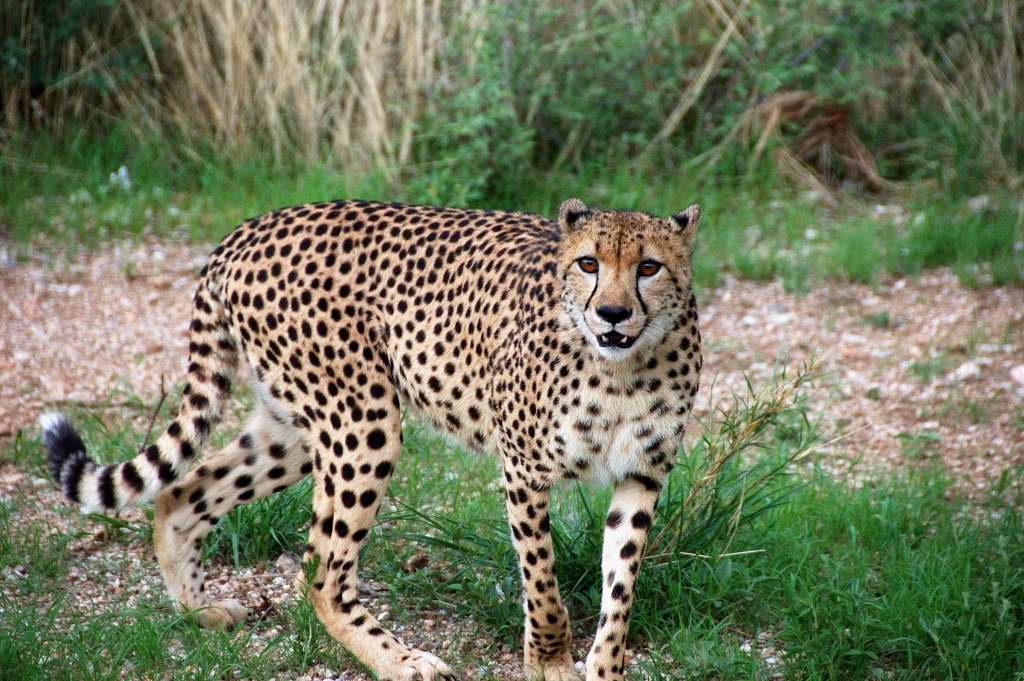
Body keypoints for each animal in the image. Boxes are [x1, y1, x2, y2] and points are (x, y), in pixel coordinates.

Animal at [40, 196, 703, 681]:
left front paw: (605, 667)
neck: (621, 366)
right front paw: (550, 661)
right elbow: (541, 581)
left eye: (648, 267)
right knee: (321, 575)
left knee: (185, 493)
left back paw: (198, 609)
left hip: (297, 429)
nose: (613, 313)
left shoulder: (642, 475)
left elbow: (620, 586)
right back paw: (401, 661)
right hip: (364, 422)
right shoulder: (523, 469)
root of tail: (252, 227)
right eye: (589, 264)